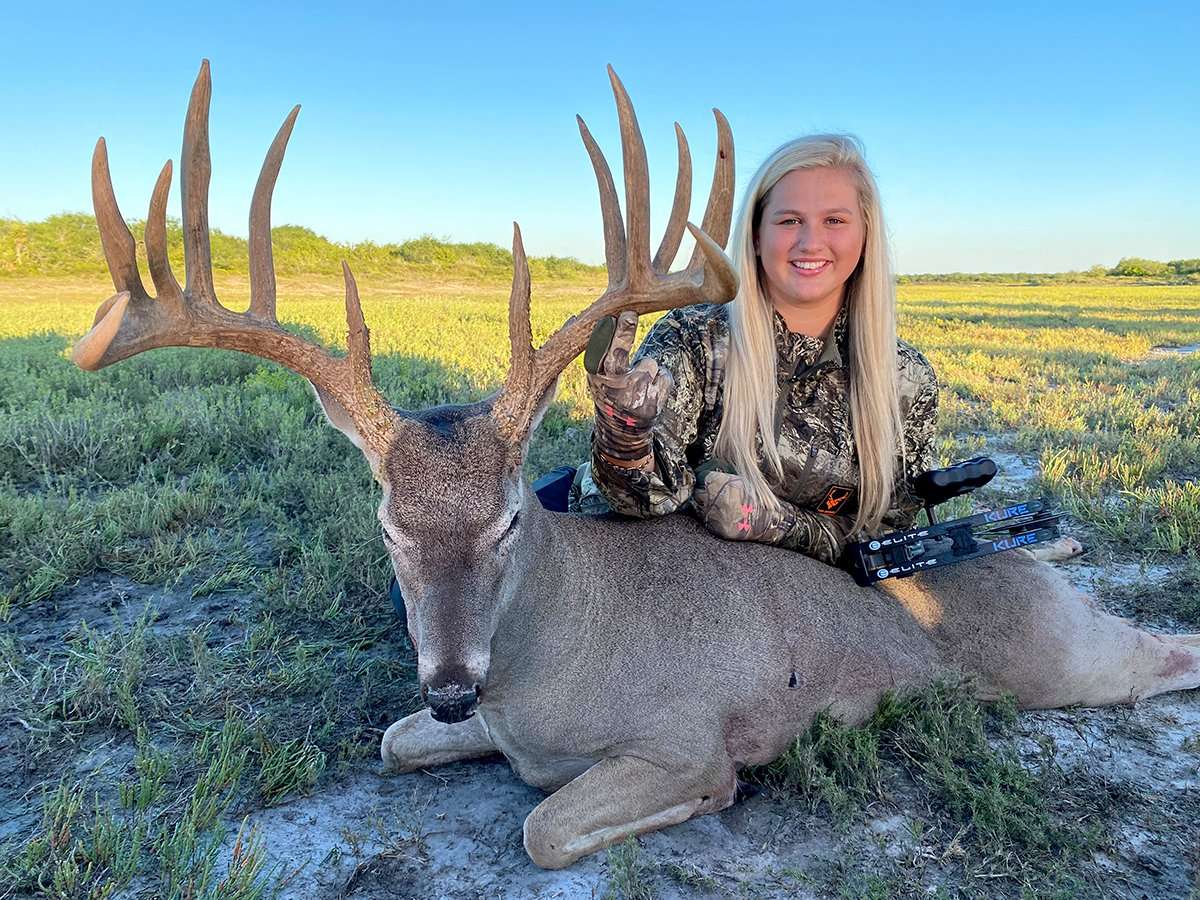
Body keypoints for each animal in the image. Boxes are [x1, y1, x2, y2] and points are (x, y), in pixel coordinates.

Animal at [72, 61, 1200, 870]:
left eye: (508, 519)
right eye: (389, 521)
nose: (451, 685)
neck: (545, 671)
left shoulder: (678, 736)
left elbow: (543, 828)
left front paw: (716, 796)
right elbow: (394, 743)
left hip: (1061, 659)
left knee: (1161, 653)